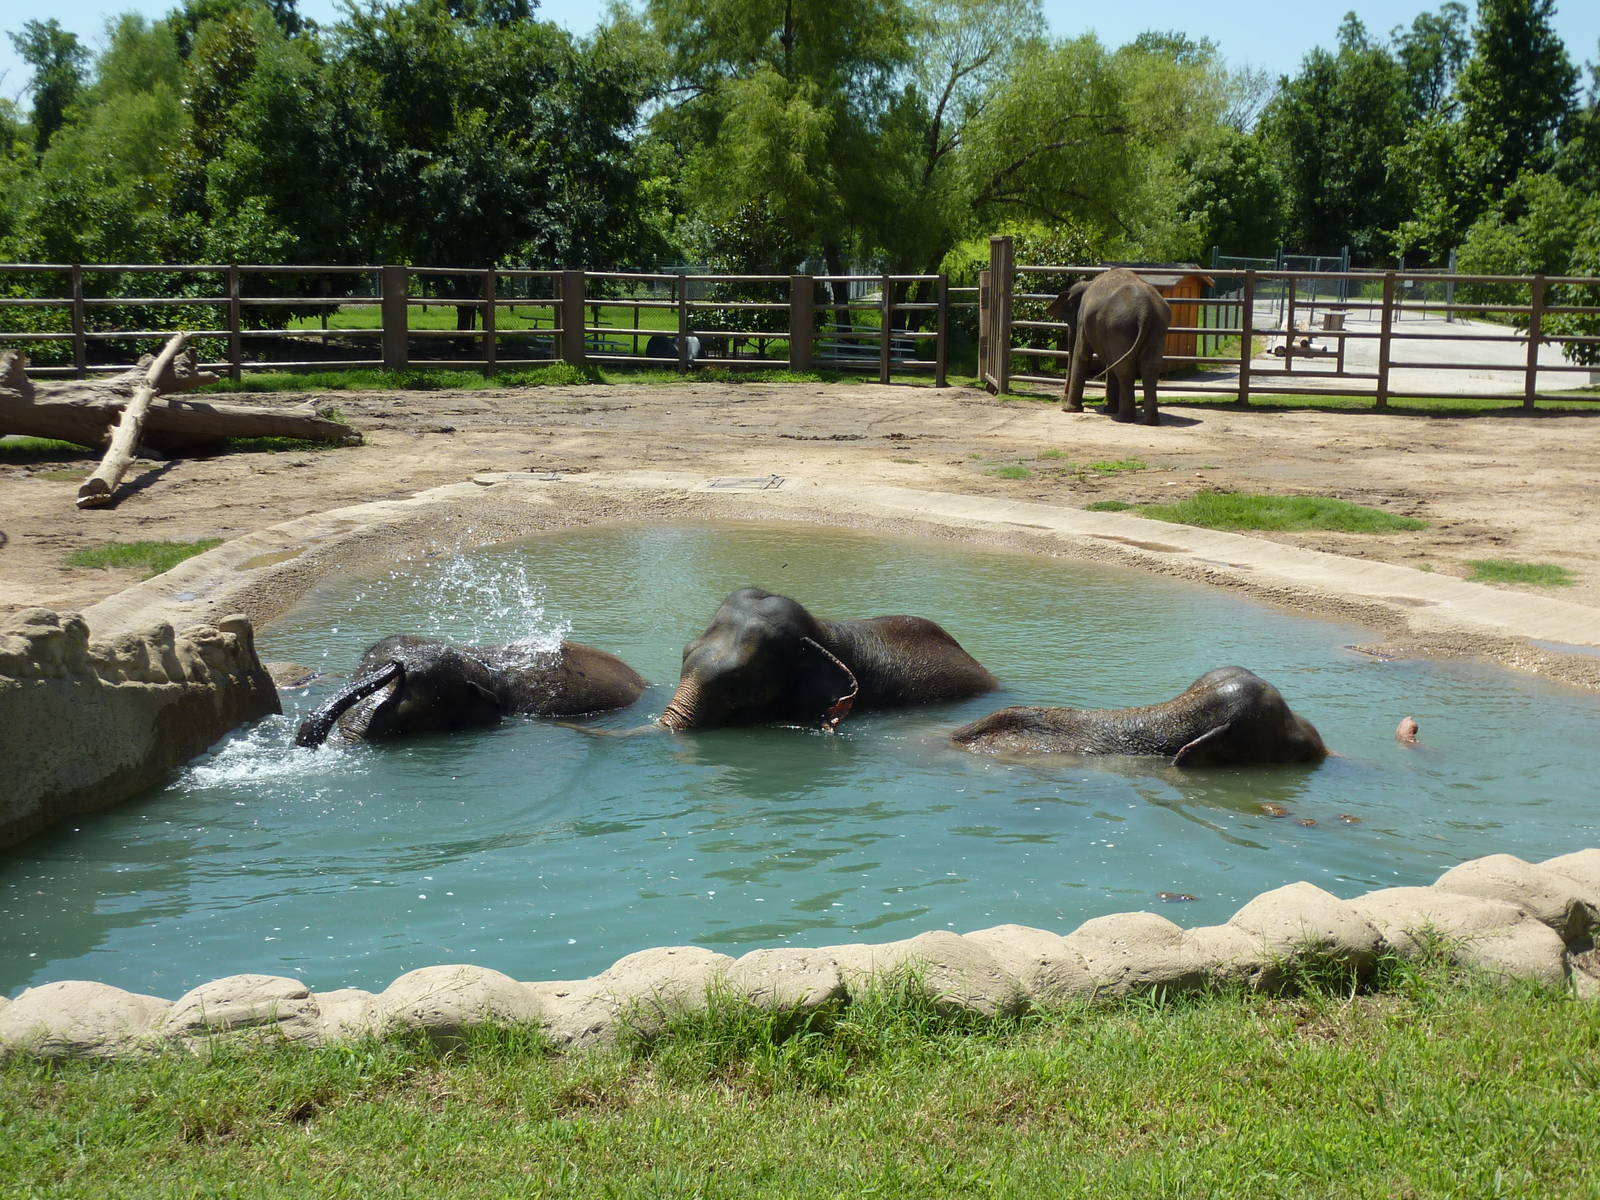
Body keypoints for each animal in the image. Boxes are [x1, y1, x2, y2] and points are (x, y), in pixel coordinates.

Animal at [1048, 268, 1171, 424]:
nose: (1062, 399)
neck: (1087, 282)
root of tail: (1145, 310)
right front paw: (1108, 409)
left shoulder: (1083, 318)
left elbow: (1082, 354)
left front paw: (1070, 410)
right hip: (1157, 328)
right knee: (1149, 368)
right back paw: (1149, 421)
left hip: (1119, 327)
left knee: (1125, 369)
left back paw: (1123, 418)